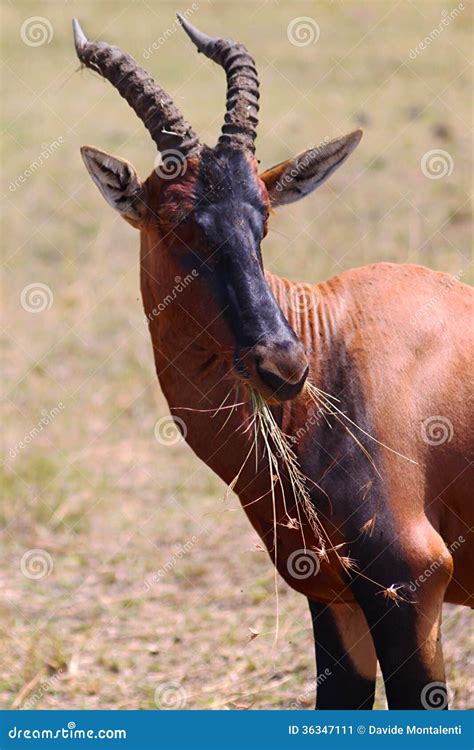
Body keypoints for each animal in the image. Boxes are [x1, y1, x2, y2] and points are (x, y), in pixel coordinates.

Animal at [72, 16, 472, 712]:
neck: (334, 338)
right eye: (177, 221)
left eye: (263, 219)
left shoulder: (412, 587)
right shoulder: (334, 597)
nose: (283, 365)